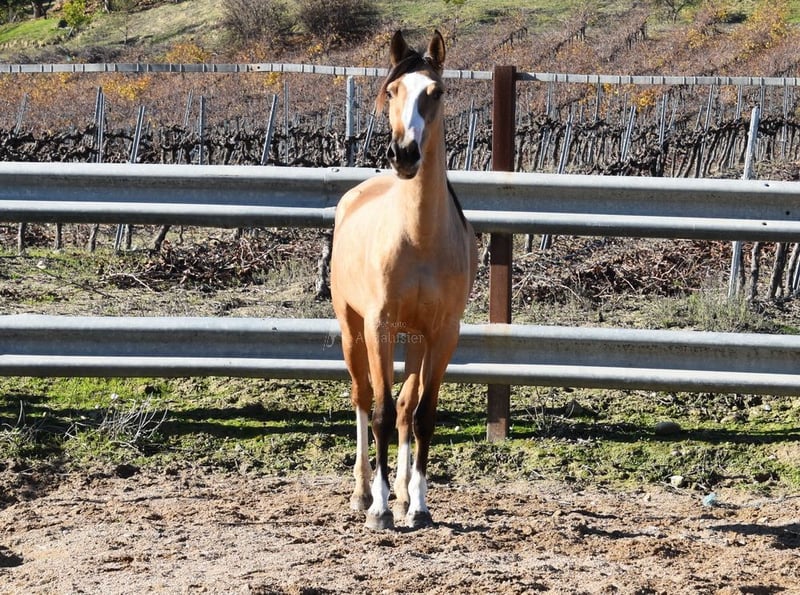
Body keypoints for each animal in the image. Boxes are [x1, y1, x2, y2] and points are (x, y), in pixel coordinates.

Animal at [330, 30, 478, 530]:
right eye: (392, 91)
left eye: (437, 92)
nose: (404, 154)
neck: (419, 237)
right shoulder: (379, 326)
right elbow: (378, 410)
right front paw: (378, 510)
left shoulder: (444, 333)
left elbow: (421, 415)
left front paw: (417, 505)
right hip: (351, 327)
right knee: (362, 398)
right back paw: (362, 495)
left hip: (414, 338)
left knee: (404, 410)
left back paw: (401, 495)